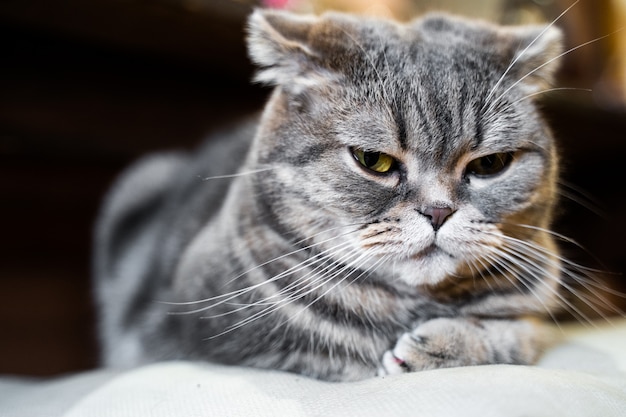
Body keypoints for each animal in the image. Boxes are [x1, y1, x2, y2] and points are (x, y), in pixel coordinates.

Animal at [92, 8, 564, 382]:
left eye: (489, 165)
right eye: (373, 160)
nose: (437, 211)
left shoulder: (534, 308)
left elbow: (520, 335)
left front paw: (440, 345)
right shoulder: (205, 333)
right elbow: (335, 346)